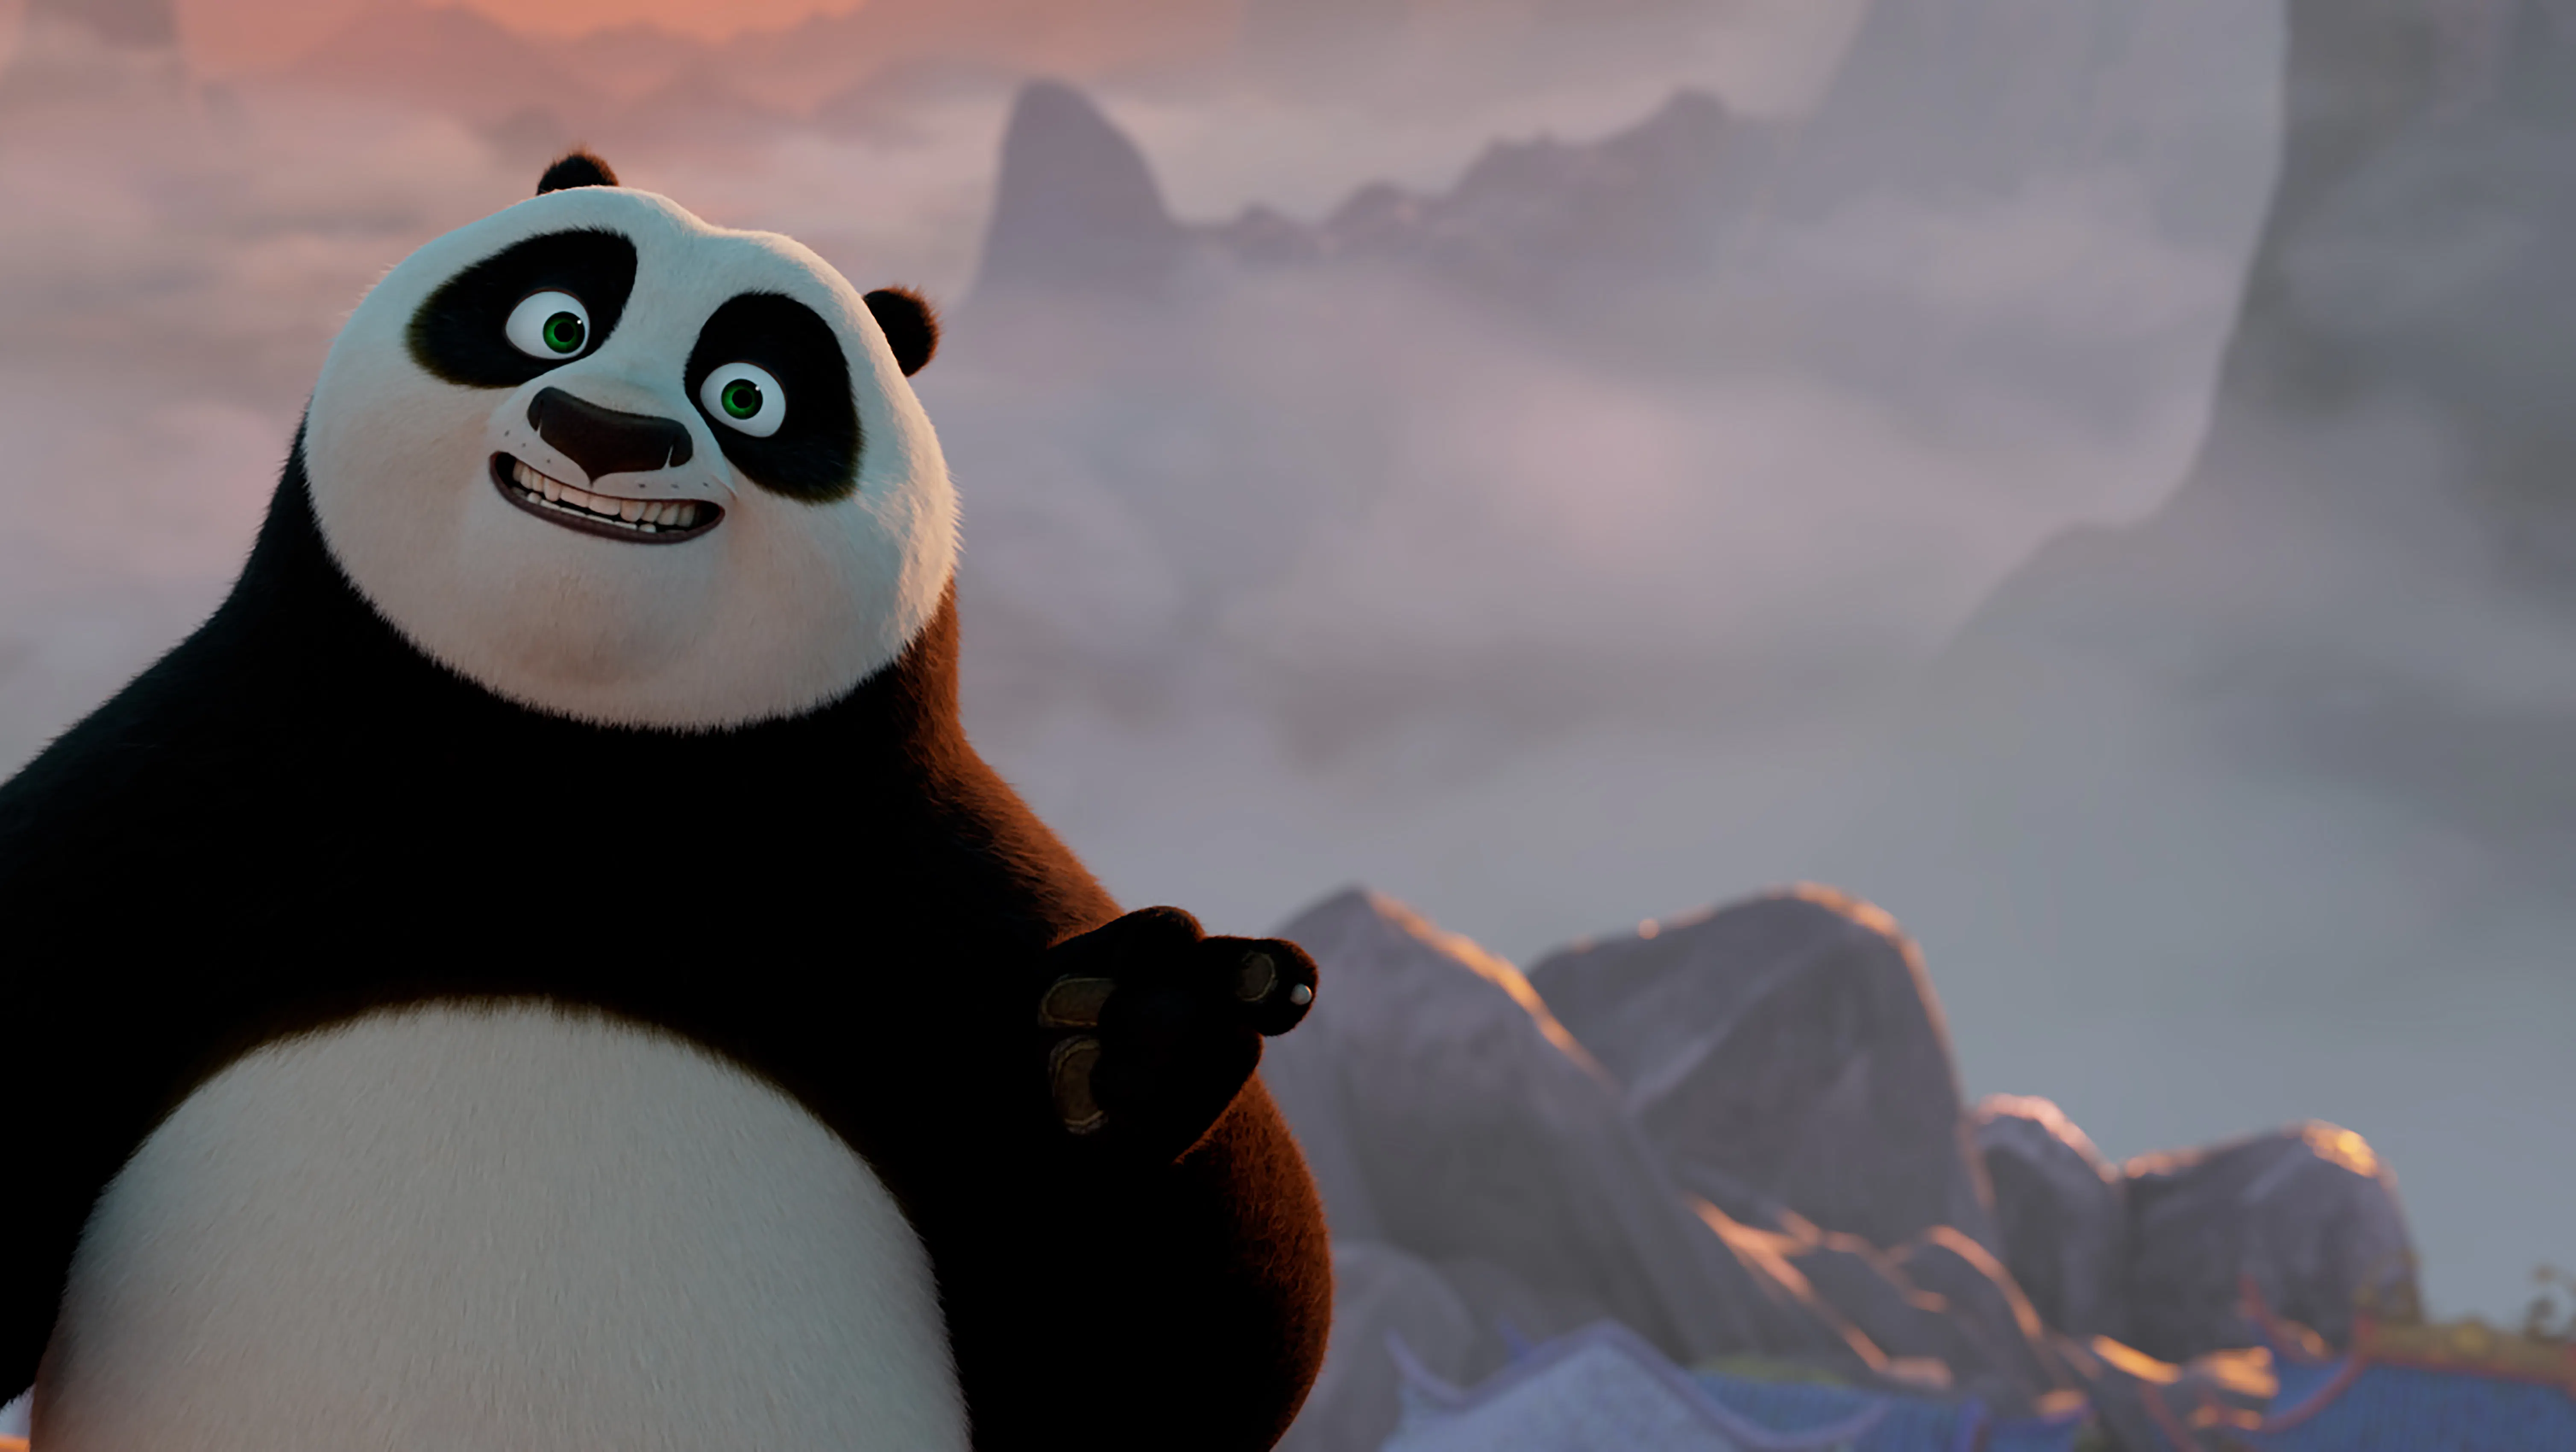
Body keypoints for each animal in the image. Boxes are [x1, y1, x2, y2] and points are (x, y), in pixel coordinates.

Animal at [0, 152, 1330, 1451]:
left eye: (750, 396)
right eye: (554, 324)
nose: (604, 432)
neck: (562, 762)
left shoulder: (929, 892)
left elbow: (1185, 1360)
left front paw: (1135, 1035)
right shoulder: (168, 812)